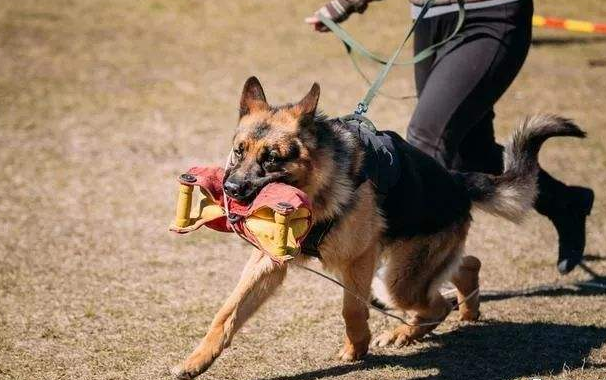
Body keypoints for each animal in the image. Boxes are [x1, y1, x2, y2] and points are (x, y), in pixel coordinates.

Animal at [171, 76, 584, 378]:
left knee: (437, 303)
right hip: (407, 265)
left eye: (272, 159)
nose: (231, 189)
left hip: (393, 280)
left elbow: (352, 310)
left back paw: (405, 331)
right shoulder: (268, 262)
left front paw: (357, 348)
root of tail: (456, 180)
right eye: (238, 151)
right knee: (466, 266)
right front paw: (196, 361)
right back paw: (466, 310)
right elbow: (226, 314)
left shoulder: (359, 259)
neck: (319, 185)